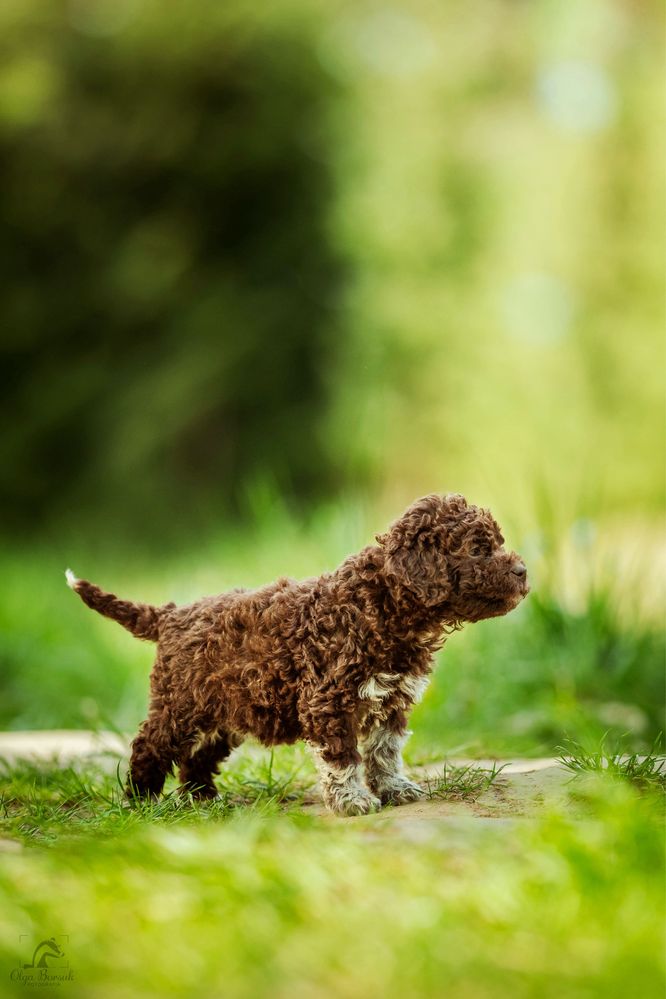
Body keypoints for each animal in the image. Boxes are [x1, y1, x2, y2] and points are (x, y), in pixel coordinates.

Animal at [65, 496, 528, 816]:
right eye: (478, 549)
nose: (524, 571)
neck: (380, 604)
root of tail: (171, 614)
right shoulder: (328, 700)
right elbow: (343, 757)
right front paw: (352, 801)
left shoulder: (392, 700)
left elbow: (384, 751)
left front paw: (395, 789)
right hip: (179, 705)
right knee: (150, 744)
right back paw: (141, 801)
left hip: (224, 711)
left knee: (198, 758)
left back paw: (205, 799)